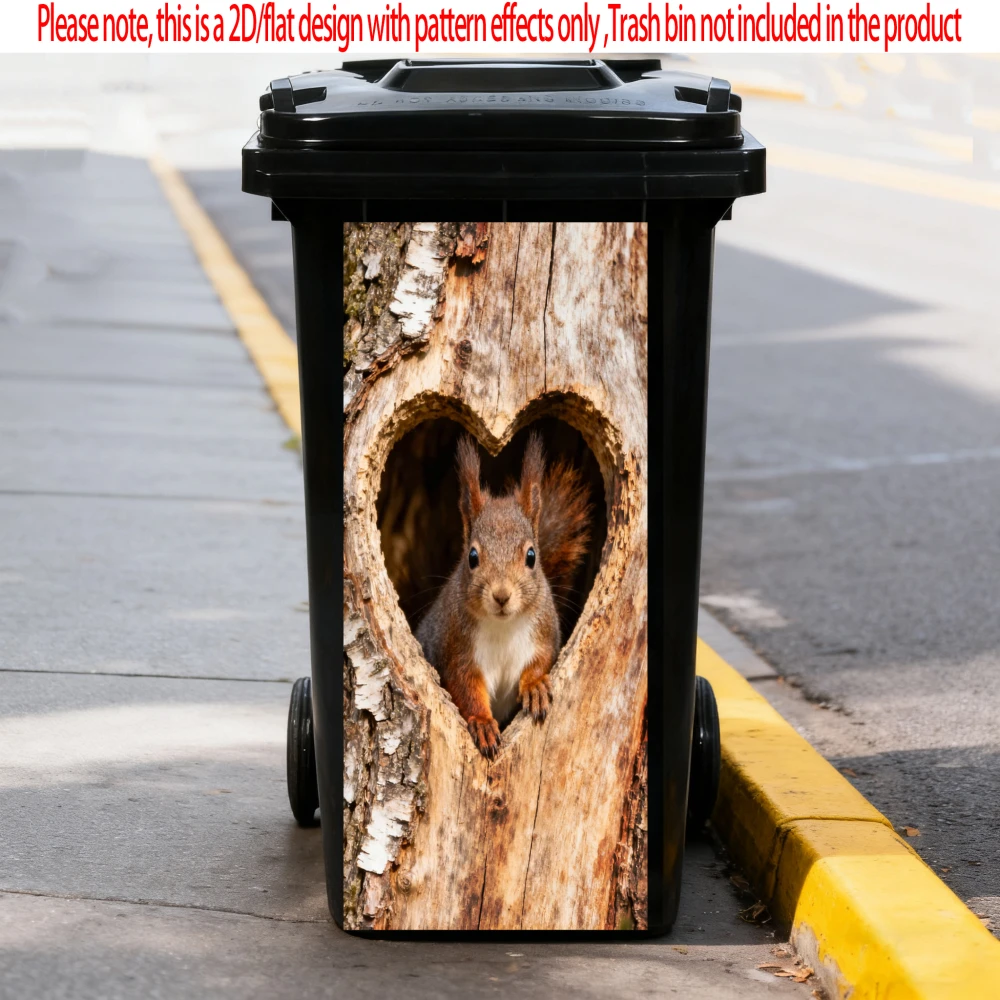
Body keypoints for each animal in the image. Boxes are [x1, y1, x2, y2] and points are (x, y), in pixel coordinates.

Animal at [416, 432, 592, 759]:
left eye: (532, 556)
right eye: (472, 557)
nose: (501, 595)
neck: (502, 627)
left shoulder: (544, 634)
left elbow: (542, 660)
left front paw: (535, 686)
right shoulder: (456, 649)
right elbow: (465, 688)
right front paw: (483, 723)